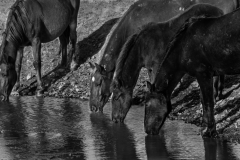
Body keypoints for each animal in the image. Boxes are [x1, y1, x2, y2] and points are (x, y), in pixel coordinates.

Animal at [143, 6, 240, 138]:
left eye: (147, 104)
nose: (147, 130)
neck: (184, 46)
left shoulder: (203, 74)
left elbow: (208, 101)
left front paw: (208, 131)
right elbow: (203, 100)